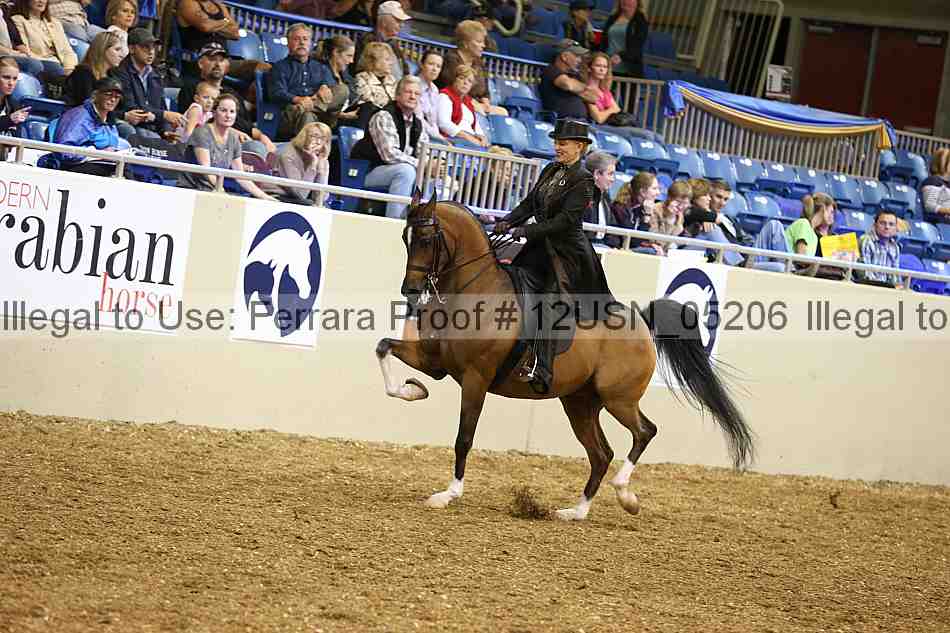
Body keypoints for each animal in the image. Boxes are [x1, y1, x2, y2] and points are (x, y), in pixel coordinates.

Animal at [375, 194, 754, 521]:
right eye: (406, 238)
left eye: (427, 238)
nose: (410, 291)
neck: (475, 292)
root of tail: (642, 323)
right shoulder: (435, 362)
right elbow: (383, 347)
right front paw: (412, 390)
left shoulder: (475, 379)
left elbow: (463, 438)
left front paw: (448, 494)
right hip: (580, 403)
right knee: (601, 454)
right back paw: (576, 512)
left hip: (619, 399)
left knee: (644, 432)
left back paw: (626, 495)